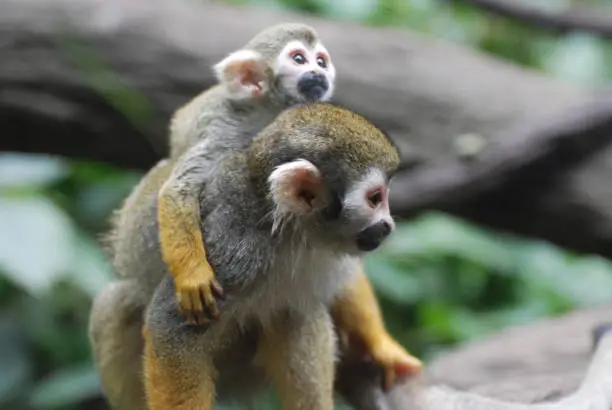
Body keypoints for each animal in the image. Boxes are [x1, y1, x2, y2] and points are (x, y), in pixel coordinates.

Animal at [146, 102, 406, 410]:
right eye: (375, 199)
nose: (388, 225)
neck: (289, 232)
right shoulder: (235, 251)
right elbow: (169, 326)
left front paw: (379, 345)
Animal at [160, 21, 424, 388]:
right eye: (299, 59)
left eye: (321, 60)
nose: (318, 71)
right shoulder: (225, 132)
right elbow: (178, 190)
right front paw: (192, 275)